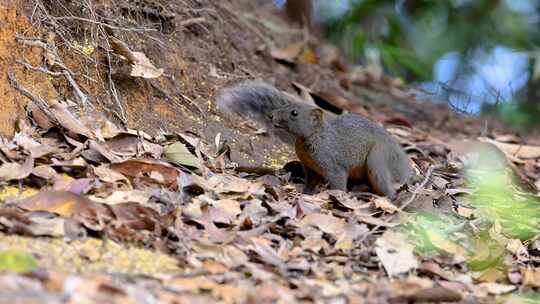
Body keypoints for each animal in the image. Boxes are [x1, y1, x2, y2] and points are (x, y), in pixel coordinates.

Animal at [217, 79, 412, 198]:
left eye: (294, 113)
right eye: (288, 105)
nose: (272, 115)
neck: (313, 138)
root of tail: (404, 168)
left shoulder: (334, 167)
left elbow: (338, 183)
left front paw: (336, 197)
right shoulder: (311, 168)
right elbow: (310, 183)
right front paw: (305, 193)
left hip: (377, 160)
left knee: (387, 188)